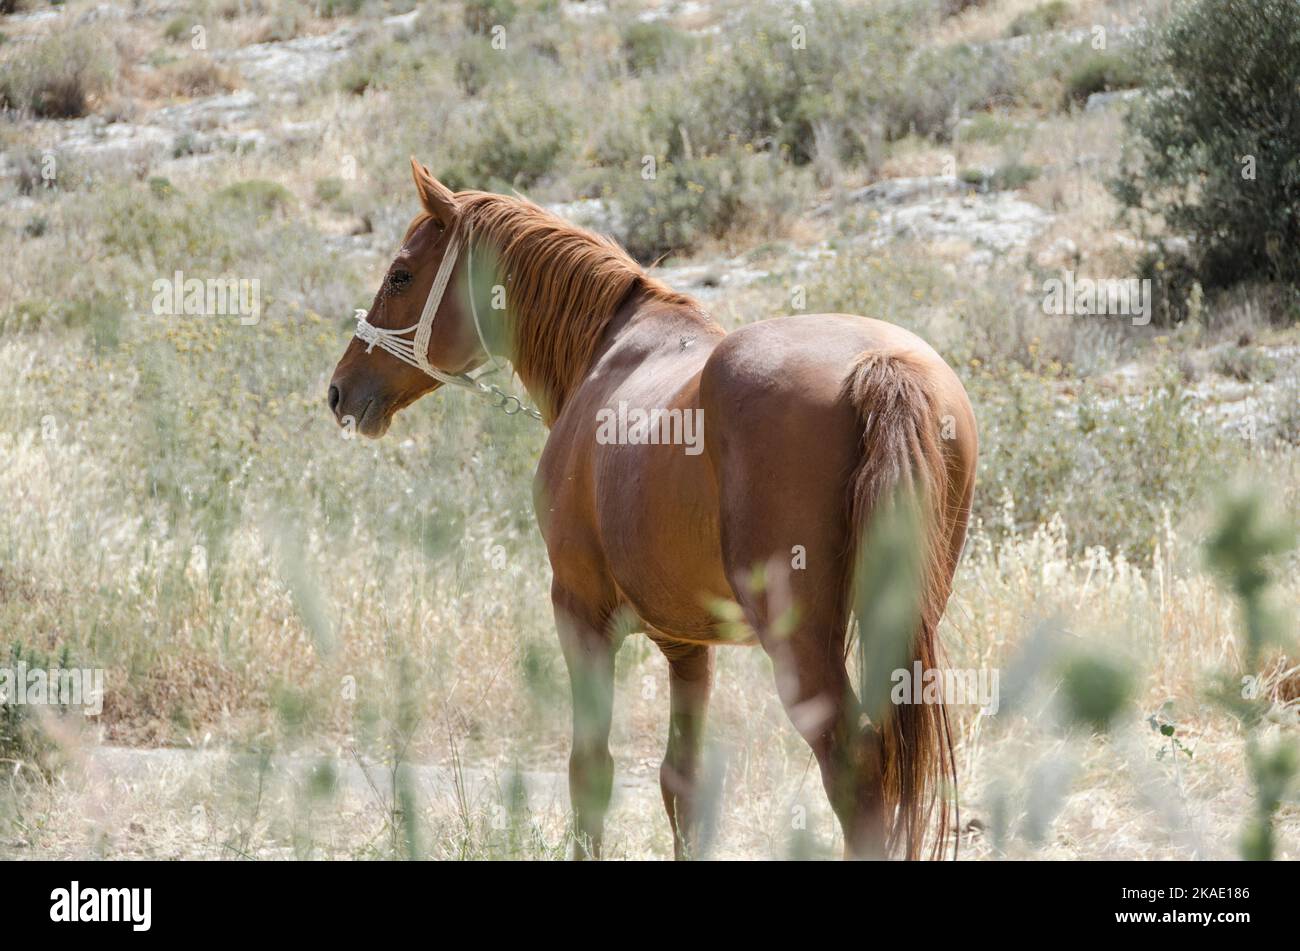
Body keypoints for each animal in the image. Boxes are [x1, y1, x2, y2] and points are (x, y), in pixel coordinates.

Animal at [325, 159, 977, 857]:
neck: (607, 350)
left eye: (400, 274)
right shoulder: (686, 646)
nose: (339, 390)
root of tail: (879, 366)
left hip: (802, 646)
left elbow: (591, 771)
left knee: (854, 771)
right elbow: (680, 784)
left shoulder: (580, 613)